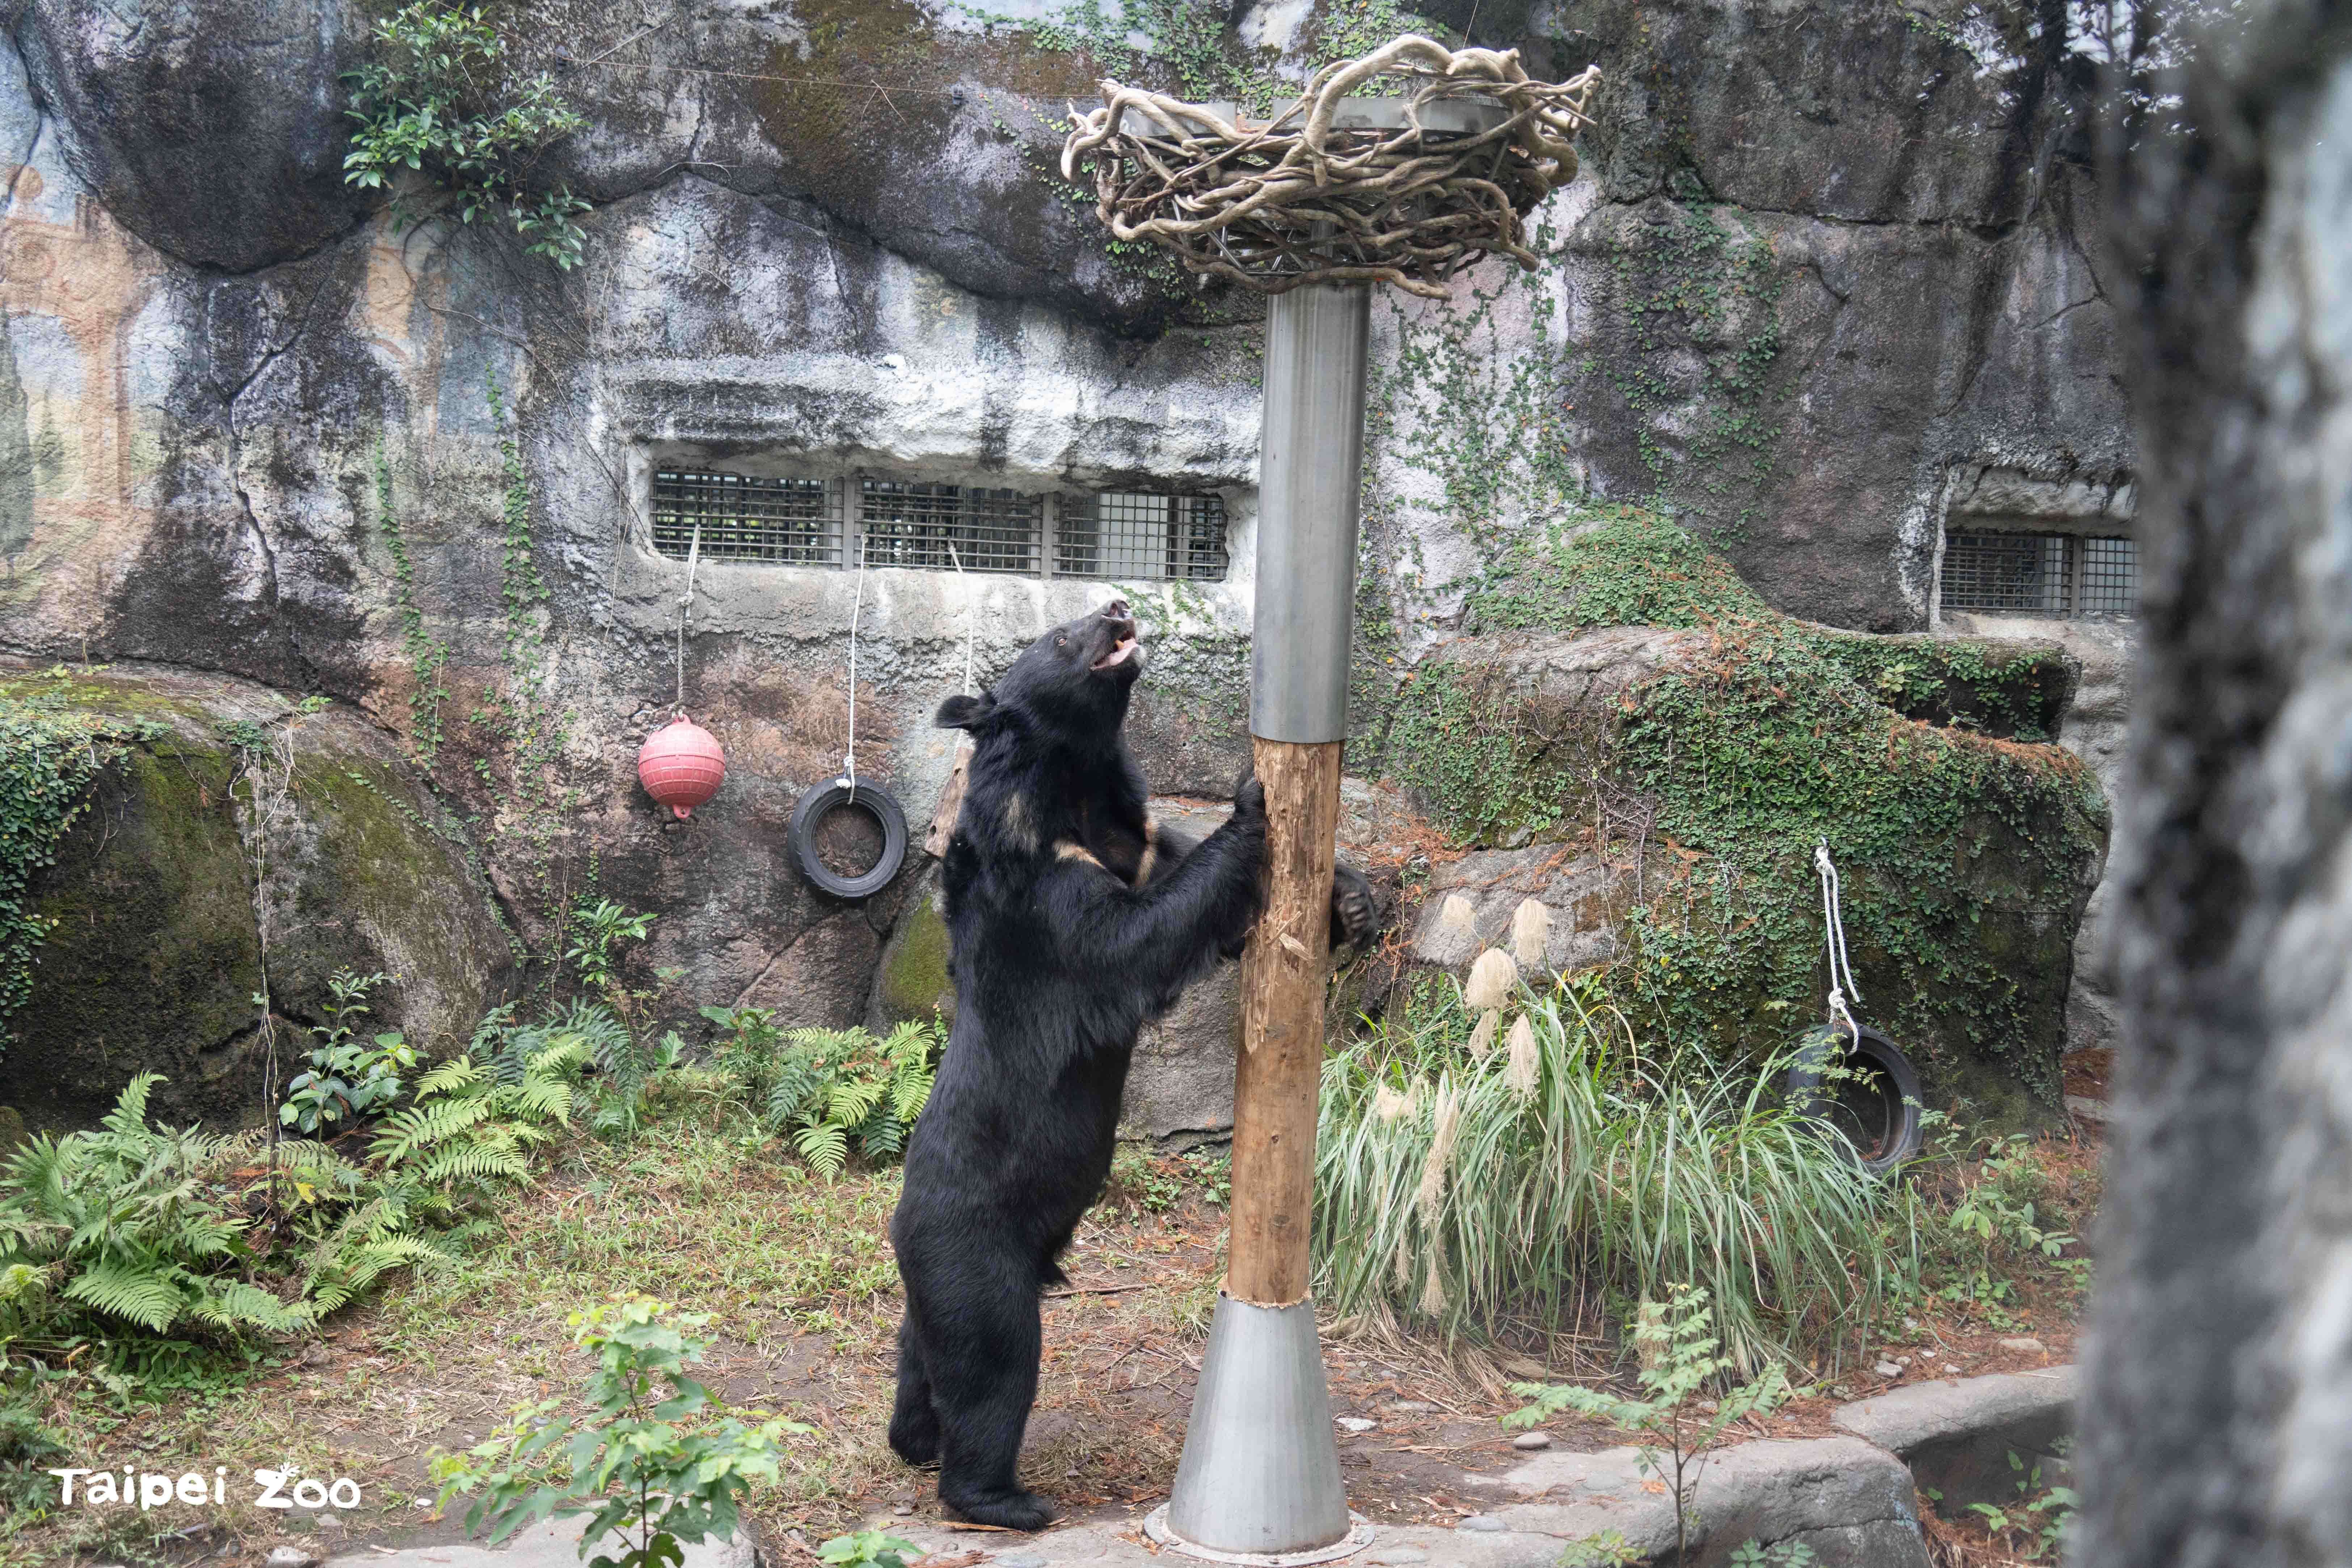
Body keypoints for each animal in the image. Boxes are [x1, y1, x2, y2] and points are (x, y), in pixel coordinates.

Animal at [887, 597, 1379, 1529]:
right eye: (1060, 636)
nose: (1117, 606)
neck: (1074, 790)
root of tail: (903, 1225)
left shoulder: (1139, 839)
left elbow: (1200, 895)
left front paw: (1358, 901)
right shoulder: (1049, 898)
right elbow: (1140, 938)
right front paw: (1251, 801)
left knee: (923, 1353)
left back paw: (913, 1441)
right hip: (974, 1251)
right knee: (992, 1362)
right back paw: (1004, 1498)